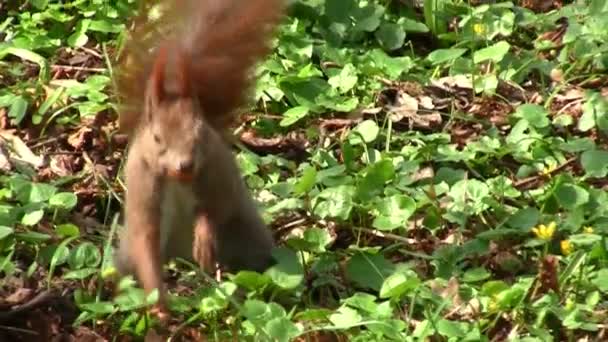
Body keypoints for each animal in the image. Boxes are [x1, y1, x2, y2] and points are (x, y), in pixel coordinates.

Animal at [111, 0, 284, 316]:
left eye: (200, 131)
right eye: (157, 138)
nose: (185, 164)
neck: (178, 180)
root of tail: (180, 259)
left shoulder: (217, 168)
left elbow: (217, 208)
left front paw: (204, 239)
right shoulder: (143, 183)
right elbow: (146, 242)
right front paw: (159, 303)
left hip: (245, 235)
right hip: (127, 258)